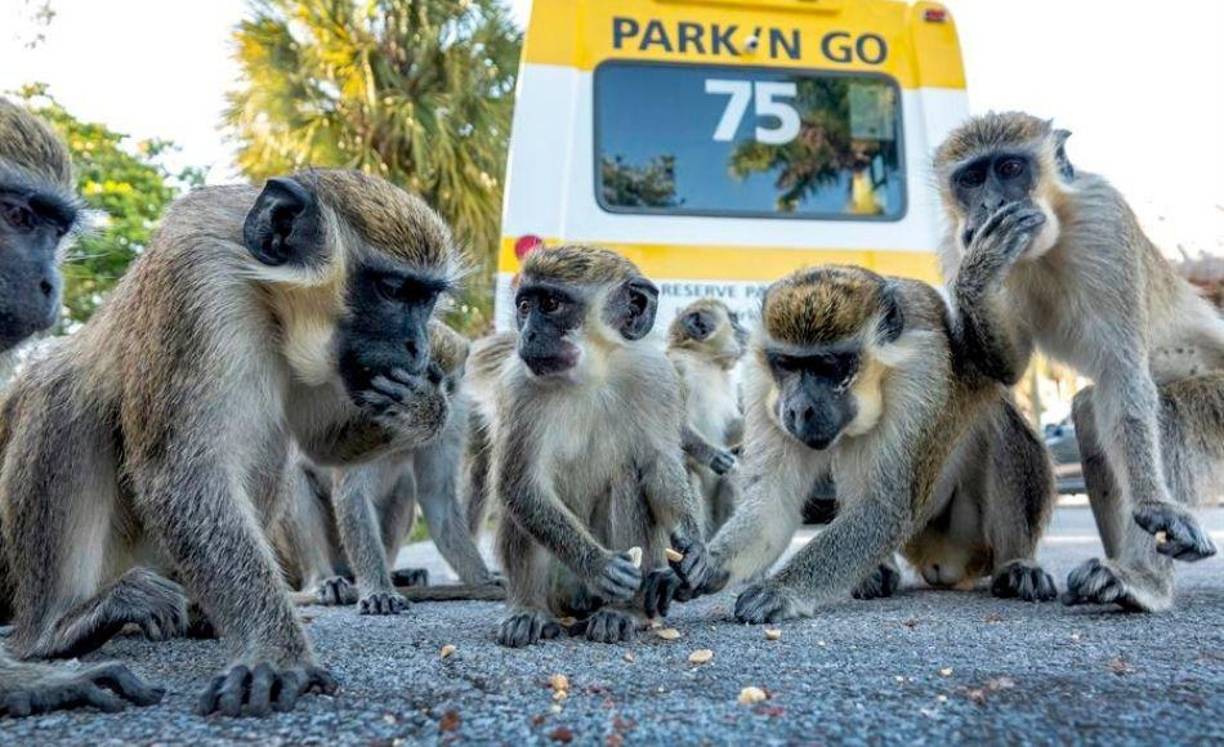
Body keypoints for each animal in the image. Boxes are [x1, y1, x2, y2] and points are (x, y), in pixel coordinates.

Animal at [0, 168, 461, 716]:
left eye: (426, 298)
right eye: (392, 290)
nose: (418, 348)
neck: (269, 302)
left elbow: (321, 445)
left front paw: (421, 406)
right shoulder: (197, 279)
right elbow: (180, 474)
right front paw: (277, 653)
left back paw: (203, 617)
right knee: (63, 391)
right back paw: (57, 628)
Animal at [275, 319, 502, 613]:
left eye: (435, 379)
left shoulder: (452, 415)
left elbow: (436, 494)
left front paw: (482, 578)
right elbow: (353, 494)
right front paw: (378, 590)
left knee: (404, 487)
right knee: (295, 479)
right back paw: (323, 580)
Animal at [467, 244, 710, 647]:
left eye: (551, 304)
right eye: (524, 306)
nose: (528, 335)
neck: (591, 373)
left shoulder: (657, 378)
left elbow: (659, 465)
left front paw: (694, 546)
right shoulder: (518, 388)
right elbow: (521, 485)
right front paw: (598, 565)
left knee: (628, 478)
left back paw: (622, 613)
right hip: (559, 587)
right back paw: (528, 611)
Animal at [666, 298, 747, 537]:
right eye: (734, 320)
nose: (746, 331)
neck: (704, 360)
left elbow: (729, 431)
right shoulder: (676, 367)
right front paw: (713, 456)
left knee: (731, 478)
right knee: (690, 474)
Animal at [933, 112, 1222, 612]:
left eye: (1010, 168)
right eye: (971, 179)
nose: (989, 206)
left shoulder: (1106, 221)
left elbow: (1123, 375)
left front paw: (1157, 508)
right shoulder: (957, 244)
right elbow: (1008, 368)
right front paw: (981, 268)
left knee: (1161, 413)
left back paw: (1143, 580)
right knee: (1090, 412)